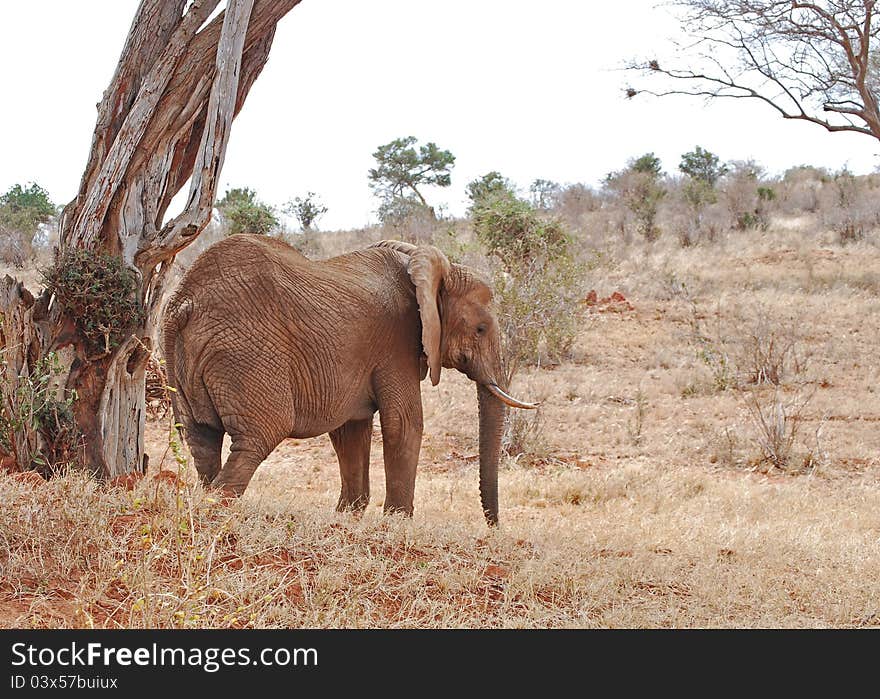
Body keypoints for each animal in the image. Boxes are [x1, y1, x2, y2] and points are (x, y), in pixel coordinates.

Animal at [164, 235, 536, 524]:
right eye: (481, 329)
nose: (494, 526)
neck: (422, 266)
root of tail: (186, 302)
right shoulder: (397, 342)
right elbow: (404, 422)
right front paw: (398, 522)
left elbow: (350, 431)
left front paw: (348, 516)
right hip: (246, 352)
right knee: (259, 435)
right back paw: (217, 514)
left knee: (201, 438)